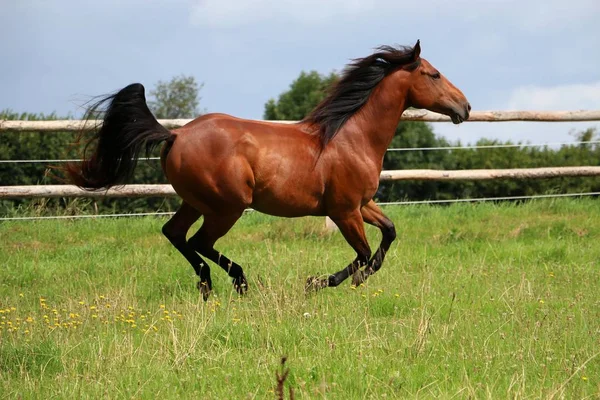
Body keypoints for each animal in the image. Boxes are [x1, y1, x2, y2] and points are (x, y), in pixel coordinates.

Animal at [64, 41, 468, 300]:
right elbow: (365, 253)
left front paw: (357, 280)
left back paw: (208, 286)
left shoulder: (362, 204)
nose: (464, 107)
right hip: (227, 206)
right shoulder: (344, 211)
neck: (351, 137)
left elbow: (389, 234)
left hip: (196, 202)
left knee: (175, 234)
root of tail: (176, 134)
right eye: (434, 74)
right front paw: (319, 283)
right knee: (200, 242)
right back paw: (239, 282)